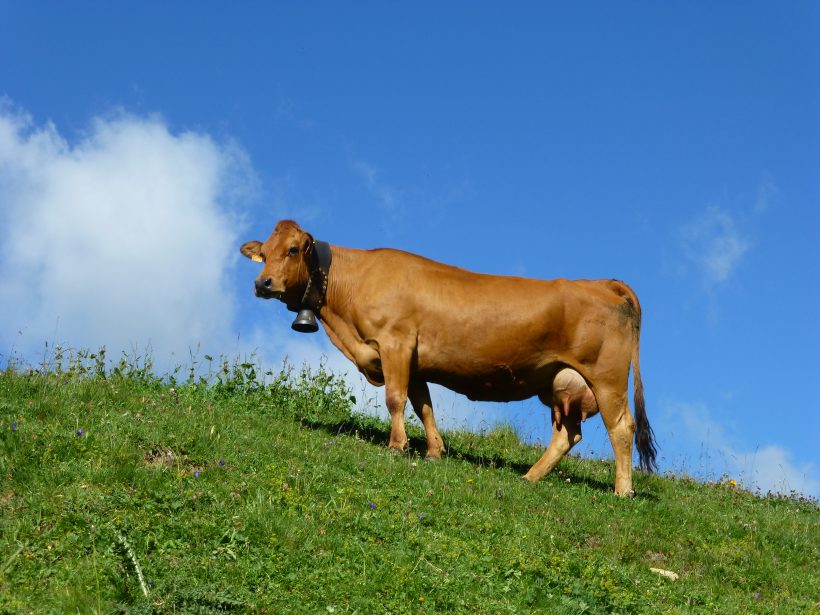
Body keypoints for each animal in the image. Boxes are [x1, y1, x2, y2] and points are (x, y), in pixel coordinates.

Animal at [240, 221, 656, 496]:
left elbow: (395, 399)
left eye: (293, 250)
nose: (262, 284)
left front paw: (397, 446)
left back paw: (622, 490)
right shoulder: (414, 360)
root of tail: (603, 282)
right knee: (568, 433)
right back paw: (530, 477)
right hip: (561, 382)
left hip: (606, 377)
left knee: (621, 426)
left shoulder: (395, 342)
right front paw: (434, 451)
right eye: (264, 254)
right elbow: (422, 404)